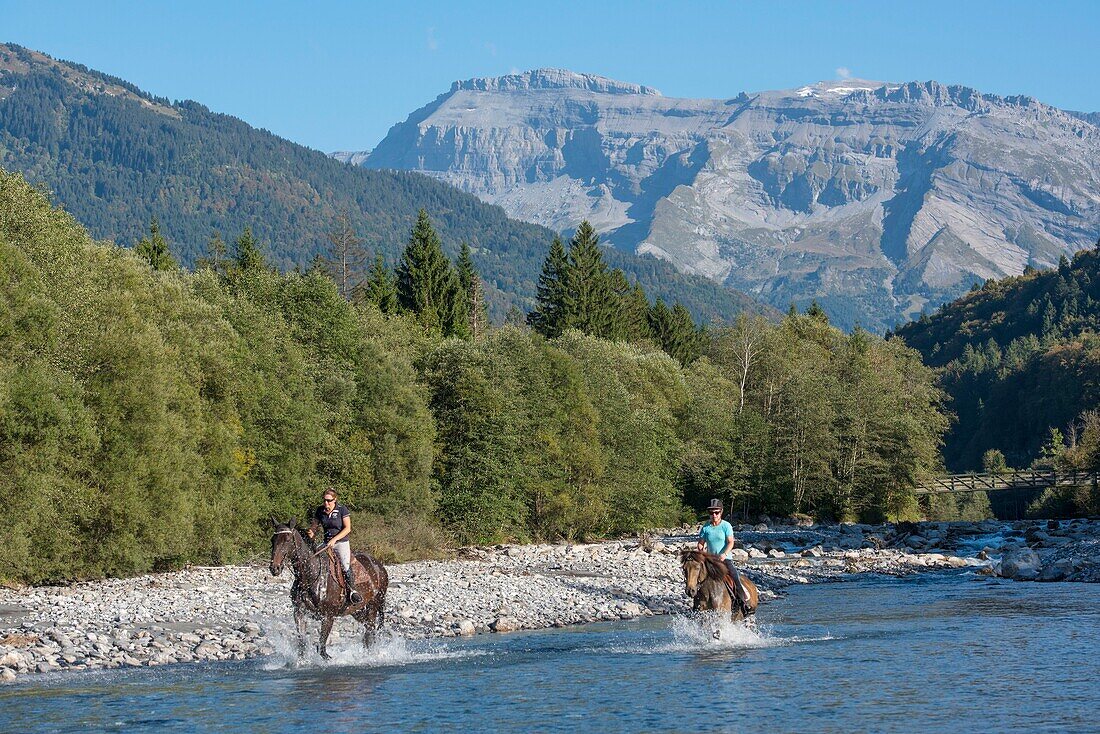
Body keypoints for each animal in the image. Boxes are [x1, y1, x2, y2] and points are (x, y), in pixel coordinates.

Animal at [268, 519, 389, 664]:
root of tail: (379, 565)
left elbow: (322, 648)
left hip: (373, 605)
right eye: (272, 540)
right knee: (368, 631)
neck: (309, 577)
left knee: (370, 631)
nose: (274, 568)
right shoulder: (299, 612)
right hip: (357, 610)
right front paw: (301, 662)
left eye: (287, 539)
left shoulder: (328, 616)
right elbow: (302, 643)